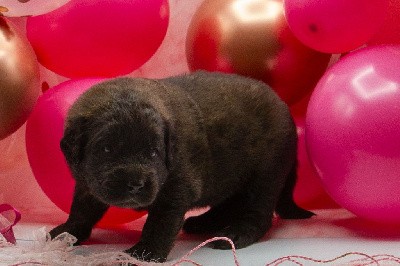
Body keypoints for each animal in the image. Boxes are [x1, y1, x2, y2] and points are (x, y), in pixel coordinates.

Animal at [48, 70, 314, 262]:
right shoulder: (87, 186)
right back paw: (204, 222)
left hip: (265, 175)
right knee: (228, 202)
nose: (136, 184)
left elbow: (159, 224)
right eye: (106, 149)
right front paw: (66, 233)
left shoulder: (175, 189)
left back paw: (235, 233)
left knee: (257, 212)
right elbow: (81, 210)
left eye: (153, 152)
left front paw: (145, 253)